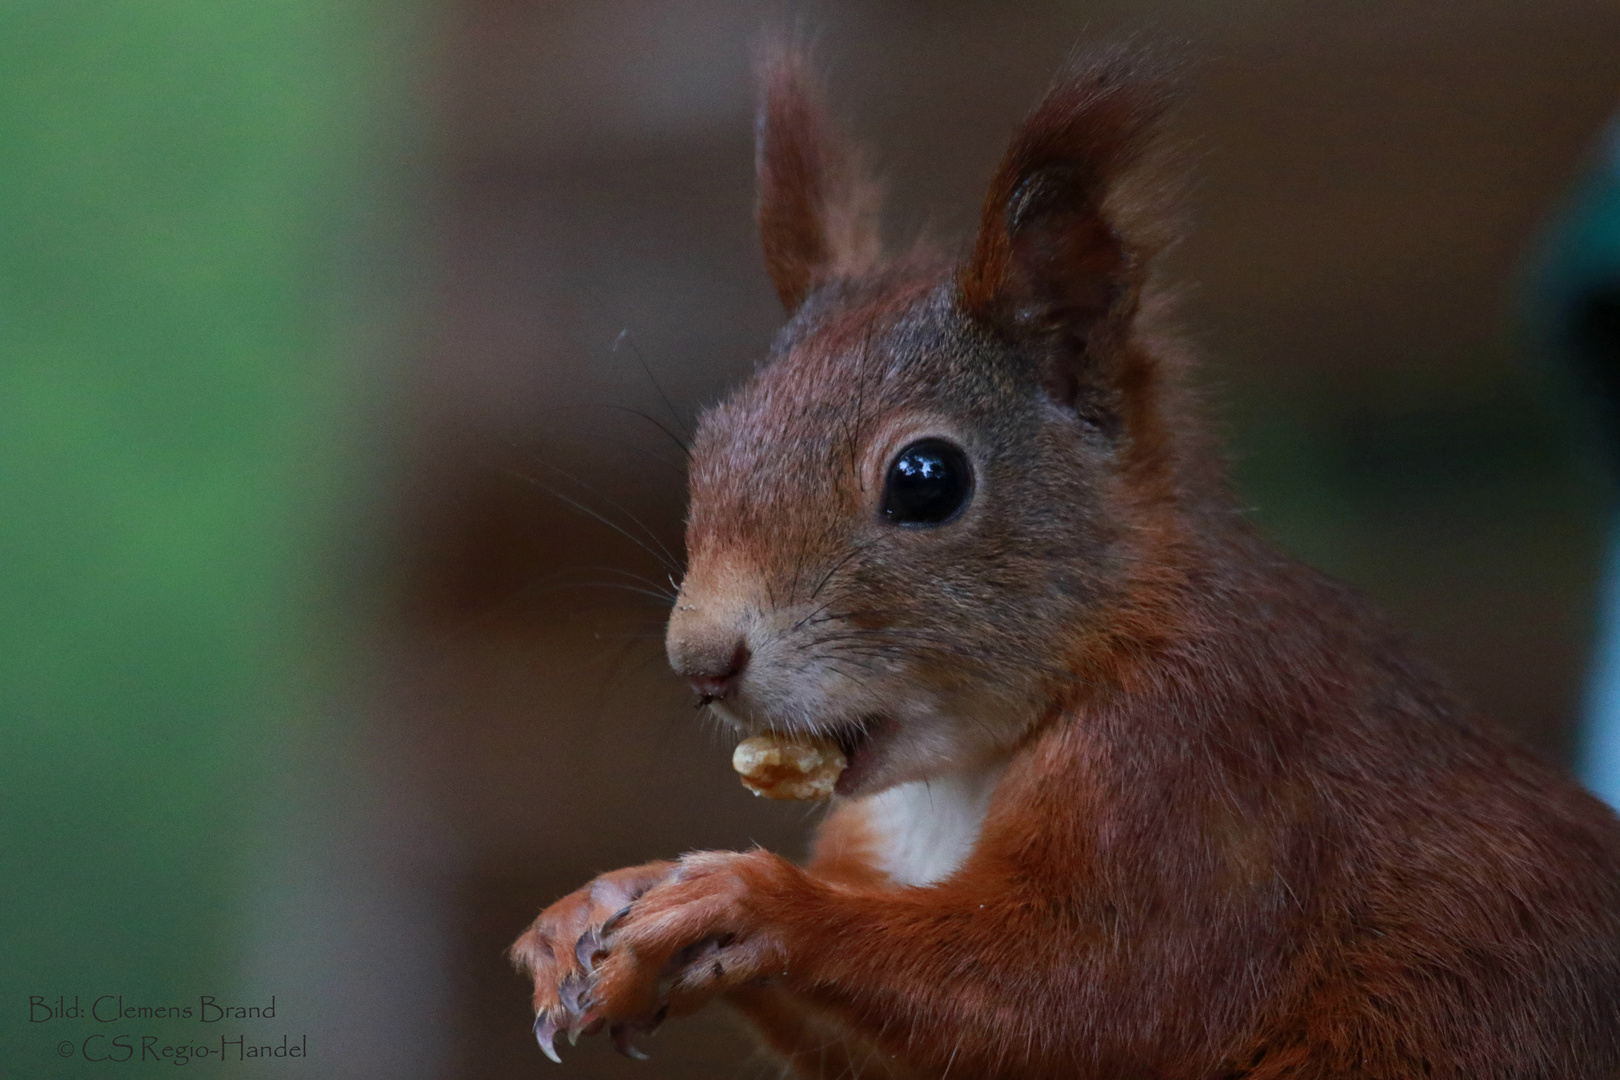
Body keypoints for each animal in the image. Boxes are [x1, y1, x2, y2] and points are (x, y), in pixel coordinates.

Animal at [505, 44, 1620, 1080]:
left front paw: (751, 901)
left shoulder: (1208, 772)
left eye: (926, 479)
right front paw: (594, 905)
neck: (964, 772)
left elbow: (1085, 996)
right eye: (710, 441)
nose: (700, 661)